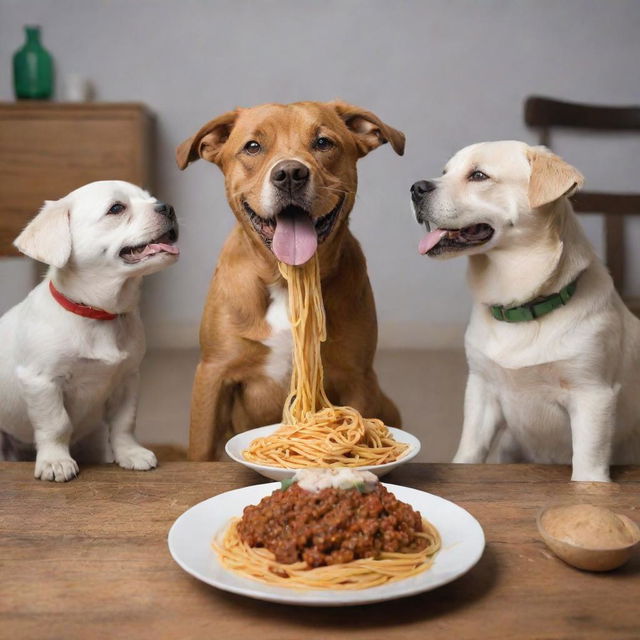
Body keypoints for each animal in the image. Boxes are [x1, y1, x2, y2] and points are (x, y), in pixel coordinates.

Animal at [1, 180, 180, 480]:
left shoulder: (128, 379)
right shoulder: (41, 381)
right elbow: (56, 424)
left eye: (151, 197)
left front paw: (129, 453)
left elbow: (124, 423)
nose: (168, 207)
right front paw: (55, 461)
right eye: (116, 208)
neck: (96, 313)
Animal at [178, 100, 402, 460]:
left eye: (323, 142)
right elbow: (201, 449)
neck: (285, 280)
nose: (290, 174)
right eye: (252, 146)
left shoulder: (358, 379)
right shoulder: (213, 373)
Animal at [412, 140, 636, 480]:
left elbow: (587, 467)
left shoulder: (593, 395)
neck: (520, 309)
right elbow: (469, 451)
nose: (415, 188)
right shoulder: (481, 388)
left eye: (478, 175)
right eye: (445, 172)